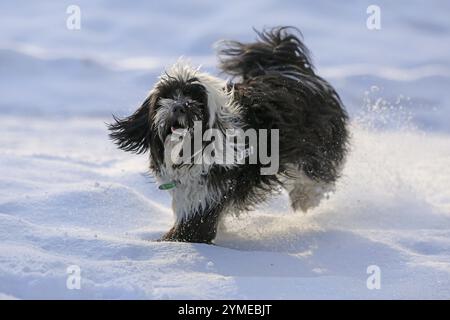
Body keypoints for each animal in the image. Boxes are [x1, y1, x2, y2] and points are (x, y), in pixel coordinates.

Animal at [108, 26, 348, 242]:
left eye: (196, 100)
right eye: (165, 97)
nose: (179, 107)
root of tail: (290, 68)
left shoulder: (203, 202)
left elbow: (188, 234)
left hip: (318, 142)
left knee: (317, 173)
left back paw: (305, 198)